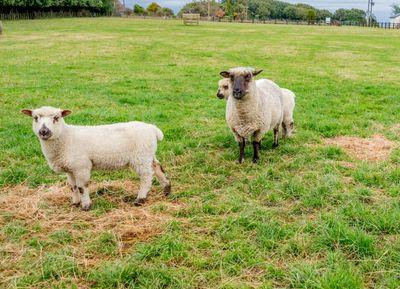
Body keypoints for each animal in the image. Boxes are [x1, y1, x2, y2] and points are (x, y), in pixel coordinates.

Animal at [20, 106, 170, 209]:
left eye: (56, 118)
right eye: (35, 118)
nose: (44, 131)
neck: (66, 137)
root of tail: (153, 129)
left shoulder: (81, 166)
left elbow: (82, 187)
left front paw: (86, 205)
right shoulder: (70, 168)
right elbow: (73, 186)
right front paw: (75, 202)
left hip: (140, 157)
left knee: (146, 177)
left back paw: (140, 198)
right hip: (148, 155)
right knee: (158, 168)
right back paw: (167, 190)